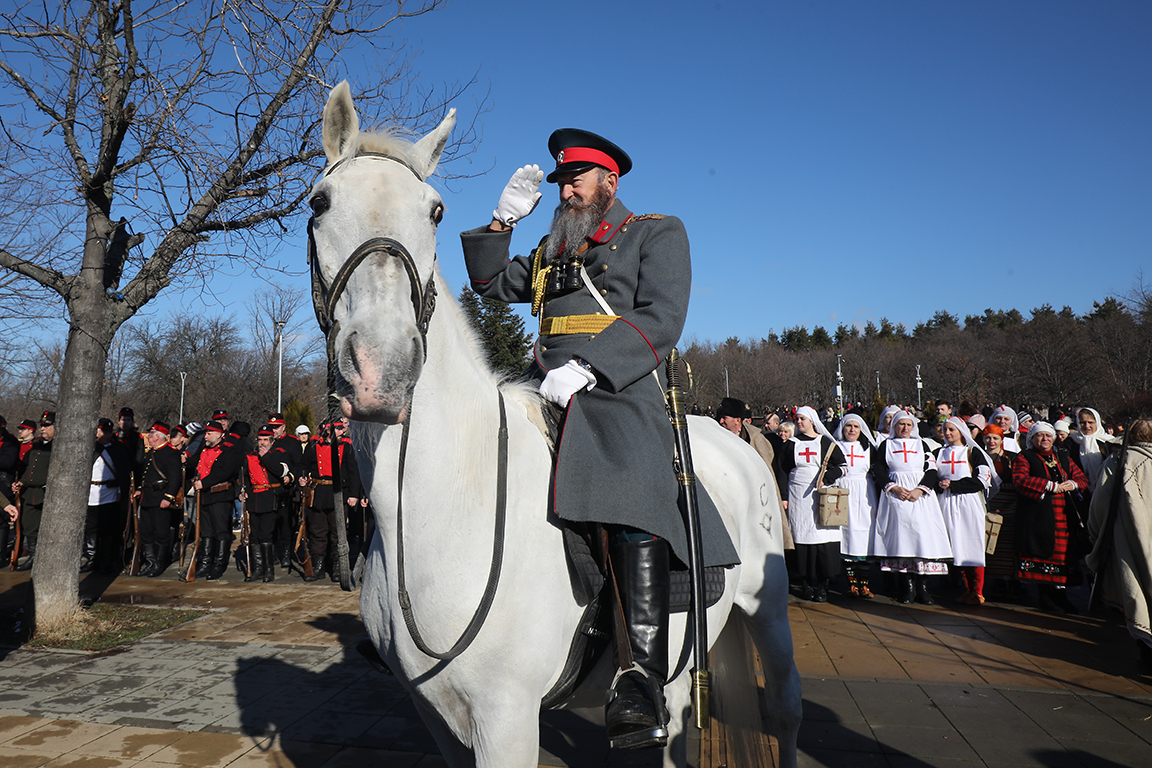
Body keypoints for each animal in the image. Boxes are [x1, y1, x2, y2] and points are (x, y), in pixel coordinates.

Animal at [308, 81, 801, 764]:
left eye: (435, 211)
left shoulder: (507, 720)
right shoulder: (432, 715)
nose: (382, 368)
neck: (434, 510)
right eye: (320, 202)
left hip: (767, 607)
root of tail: (729, 439)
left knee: (783, 709)